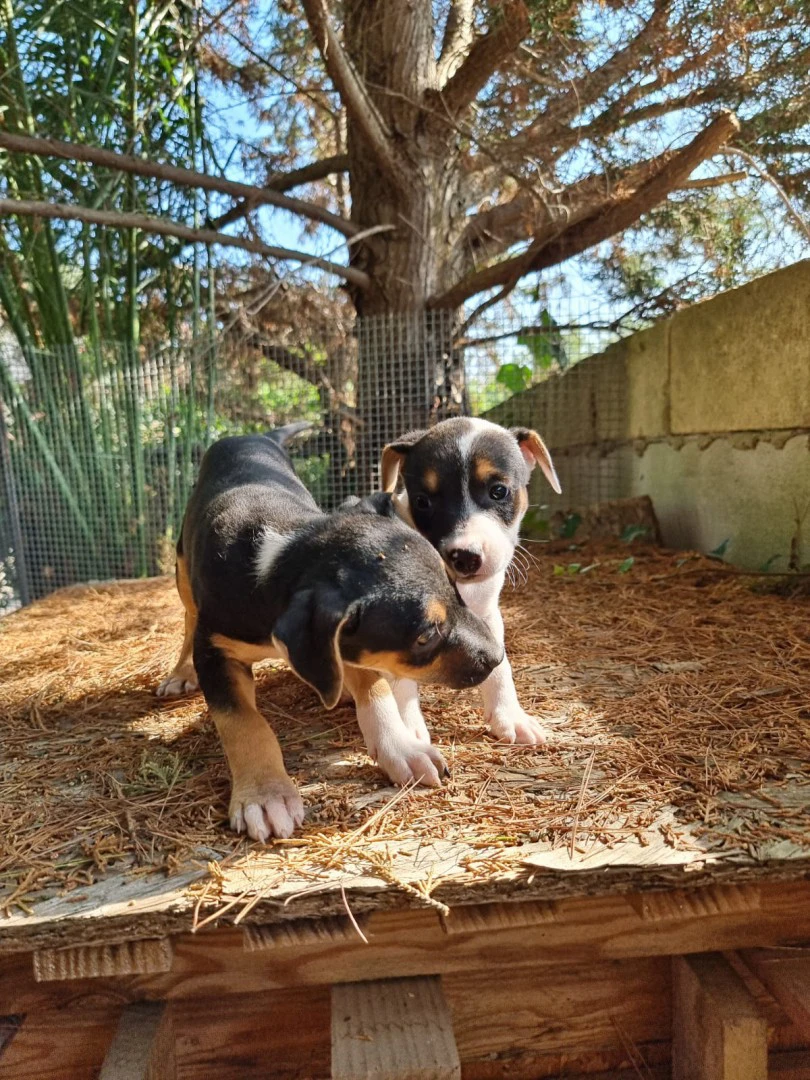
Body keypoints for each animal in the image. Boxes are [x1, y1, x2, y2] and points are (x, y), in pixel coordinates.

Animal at [157, 429, 501, 842]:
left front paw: (402, 749)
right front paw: (265, 795)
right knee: (188, 618)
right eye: (424, 637)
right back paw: (180, 673)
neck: (283, 556)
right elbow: (244, 723)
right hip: (182, 571)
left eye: (457, 591)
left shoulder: (346, 642)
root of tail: (251, 435)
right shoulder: (215, 651)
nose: (497, 657)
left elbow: (376, 690)